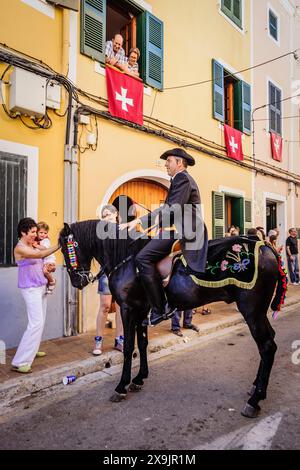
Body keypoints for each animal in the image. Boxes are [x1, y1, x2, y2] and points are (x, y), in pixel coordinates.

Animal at [59, 220, 286, 418]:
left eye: (65, 249)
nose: (77, 281)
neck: (127, 260)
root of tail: (265, 246)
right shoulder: (142, 310)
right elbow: (142, 343)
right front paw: (139, 378)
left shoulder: (128, 309)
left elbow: (128, 347)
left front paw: (121, 386)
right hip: (258, 312)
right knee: (270, 342)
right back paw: (255, 388)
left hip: (252, 310)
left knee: (267, 346)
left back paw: (255, 400)